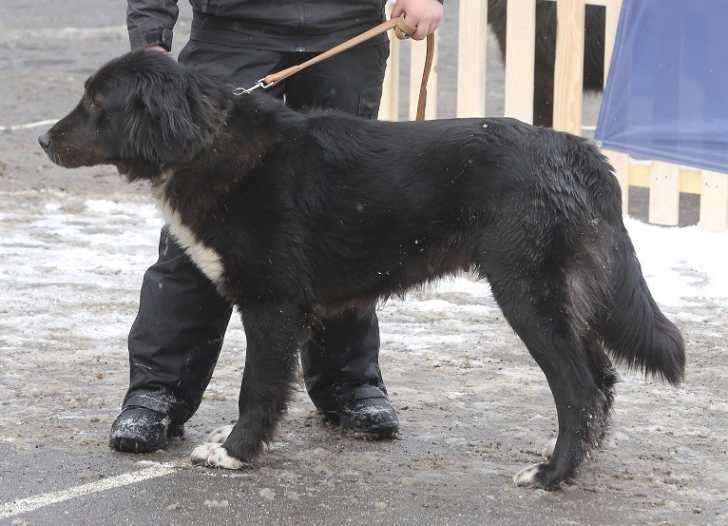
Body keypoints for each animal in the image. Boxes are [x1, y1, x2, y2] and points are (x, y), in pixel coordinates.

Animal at [39, 51, 685, 490]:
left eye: (98, 103)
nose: (43, 139)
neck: (206, 142)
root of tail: (578, 151)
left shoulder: (272, 304)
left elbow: (256, 389)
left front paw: (235, 453)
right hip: (567, 298)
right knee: (601, 381)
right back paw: (577, 461)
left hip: (528, 294)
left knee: (578, 388)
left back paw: (553, 474)